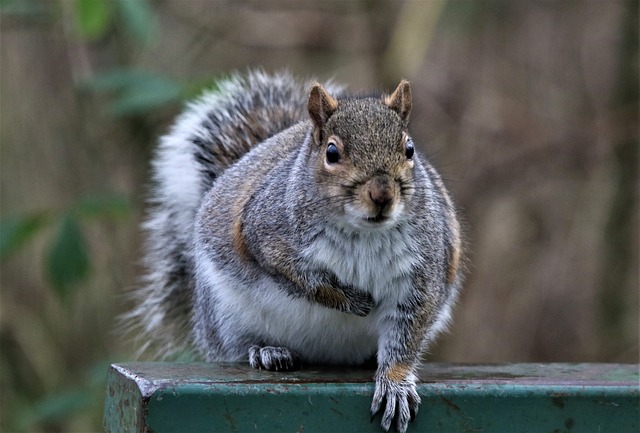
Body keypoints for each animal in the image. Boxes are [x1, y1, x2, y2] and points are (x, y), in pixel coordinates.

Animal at [129, 70, 460, 432]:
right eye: (332, 152)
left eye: (409, 149)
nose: (382, 195)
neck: (364, 232)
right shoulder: (266, 233)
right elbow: (301, 278)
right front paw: (348, 299)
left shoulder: (422, 273)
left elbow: (407, 337)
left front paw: (396, 384)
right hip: (224, 313)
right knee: (234, 346)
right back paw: (266, 351)